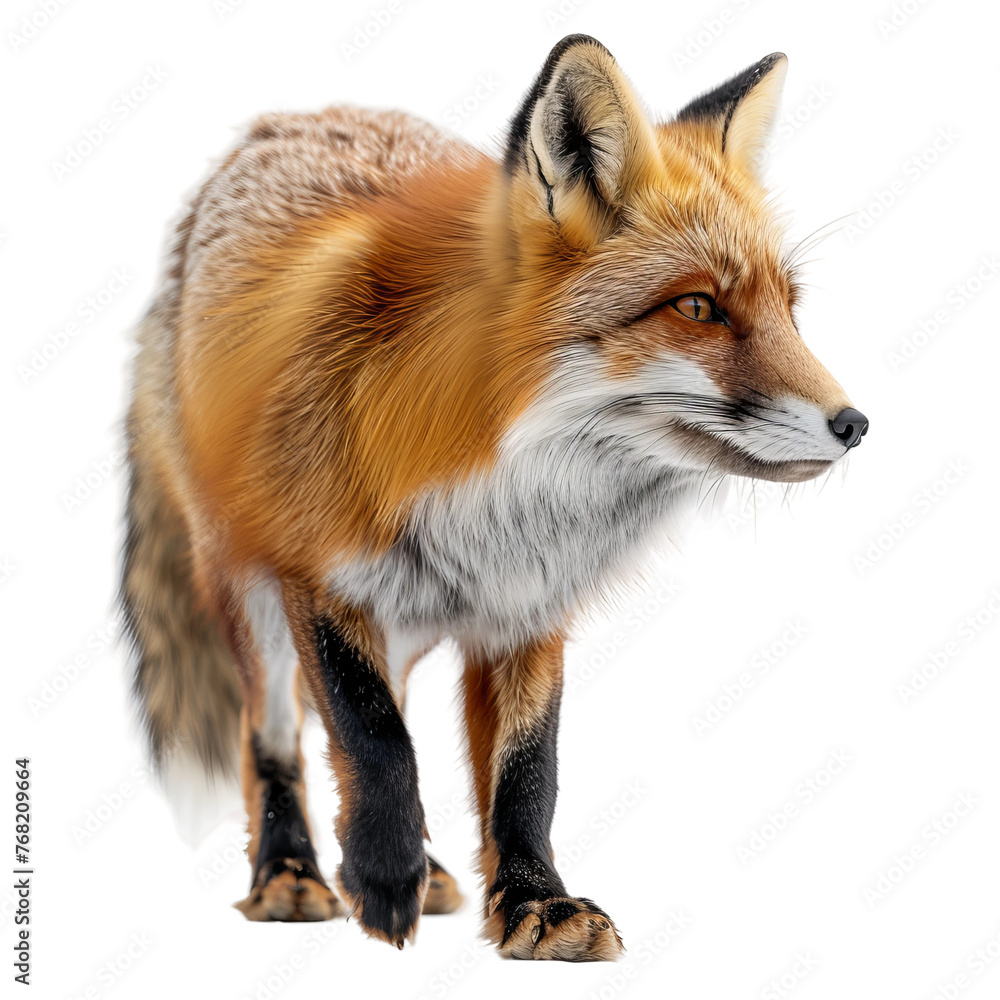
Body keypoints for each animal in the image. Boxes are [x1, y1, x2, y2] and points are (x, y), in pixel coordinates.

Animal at [120, 34, 868, 962]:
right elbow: (371, 738)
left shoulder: (529, 605)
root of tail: (279, 123)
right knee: (276, 736)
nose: (855, 424)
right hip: (248, 587)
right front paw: (382, 883)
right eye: (698, 306)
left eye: (789, 309)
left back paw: (428, 866)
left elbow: (524, 772)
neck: (508, 496)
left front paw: (533, 904)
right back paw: (291, 872)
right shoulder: (317, 576)